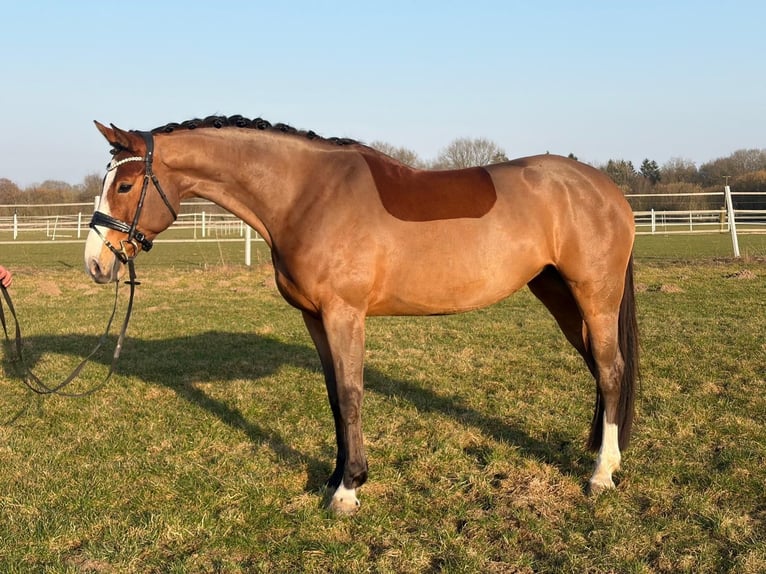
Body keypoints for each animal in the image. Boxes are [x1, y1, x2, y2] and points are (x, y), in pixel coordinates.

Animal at [84, 116, 638, 514]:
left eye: (126, 186)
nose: (96, 263)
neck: (305, 195)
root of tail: (604, 188)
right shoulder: (314, 318)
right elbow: (334, 398)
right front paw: (335, 477)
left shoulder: (343, 314)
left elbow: (351, 397)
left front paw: (348, 491)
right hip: (558, 294)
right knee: (598, 370)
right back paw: (599, 455)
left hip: (594, 295)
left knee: (610, 371)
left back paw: (601, 474)